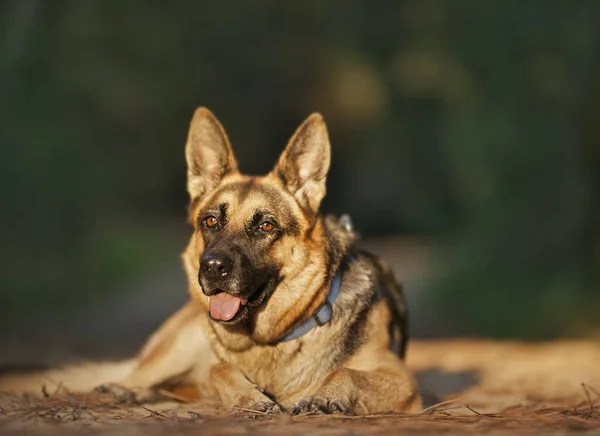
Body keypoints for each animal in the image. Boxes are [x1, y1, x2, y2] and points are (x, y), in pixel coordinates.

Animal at [0, 109, 420, 416]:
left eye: (266, 225)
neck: (274, 339)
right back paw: (124, 390)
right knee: (143, 375)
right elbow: (220, 370)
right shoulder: (213, 362)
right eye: (211, 221)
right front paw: (249, 397)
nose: (213, 268)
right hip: (182, 343)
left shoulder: (403, 381)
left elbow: (349, 372)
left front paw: (325, 395)